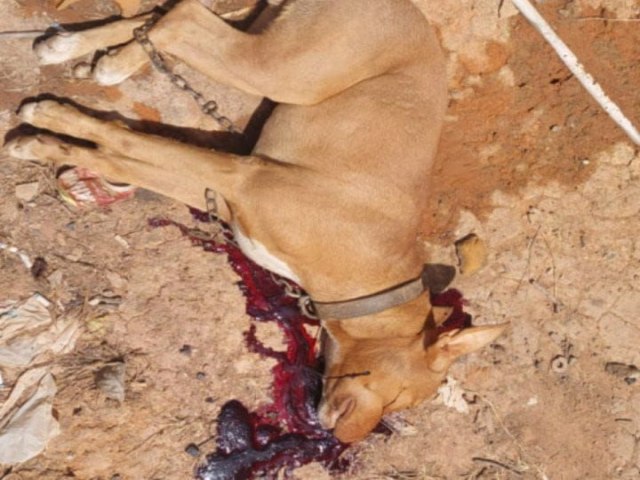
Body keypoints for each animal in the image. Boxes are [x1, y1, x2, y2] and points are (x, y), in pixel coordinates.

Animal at [7, 0, 507, 443]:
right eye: (399, 398)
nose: (343, 440)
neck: (370, 277)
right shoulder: (239, 174)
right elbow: (126, 144)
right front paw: (43, 133)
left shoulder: (226, 191)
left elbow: (125, 151)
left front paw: (52, 129)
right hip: (285, 70)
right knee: (182, 18)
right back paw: (109, 63)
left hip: (271, 35)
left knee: (166, 14)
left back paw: (78, 49)